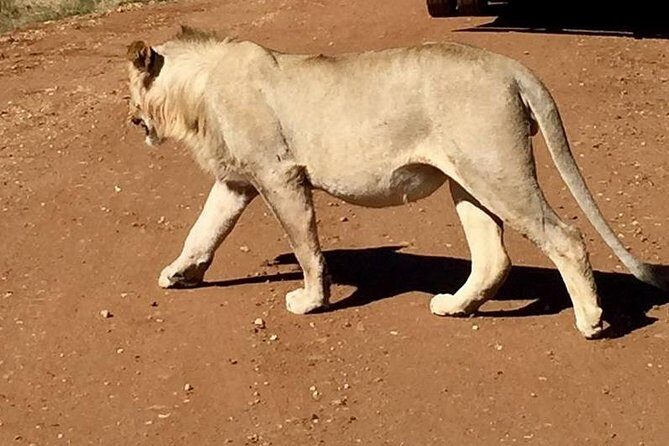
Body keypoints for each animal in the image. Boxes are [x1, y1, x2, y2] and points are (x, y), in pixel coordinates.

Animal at [125, 27, 666, 339]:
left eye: (128, 87)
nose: (130, 119)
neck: (197, 90)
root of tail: (513, 67)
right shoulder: (237, 180)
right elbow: (204, 229)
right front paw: (179, 274)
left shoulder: (279, 173)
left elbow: (305, 246)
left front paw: (310, 301)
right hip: (466, 178)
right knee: (493, 255)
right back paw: (454, 307)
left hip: (497, 169)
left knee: (566, 237)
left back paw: (591, 320)